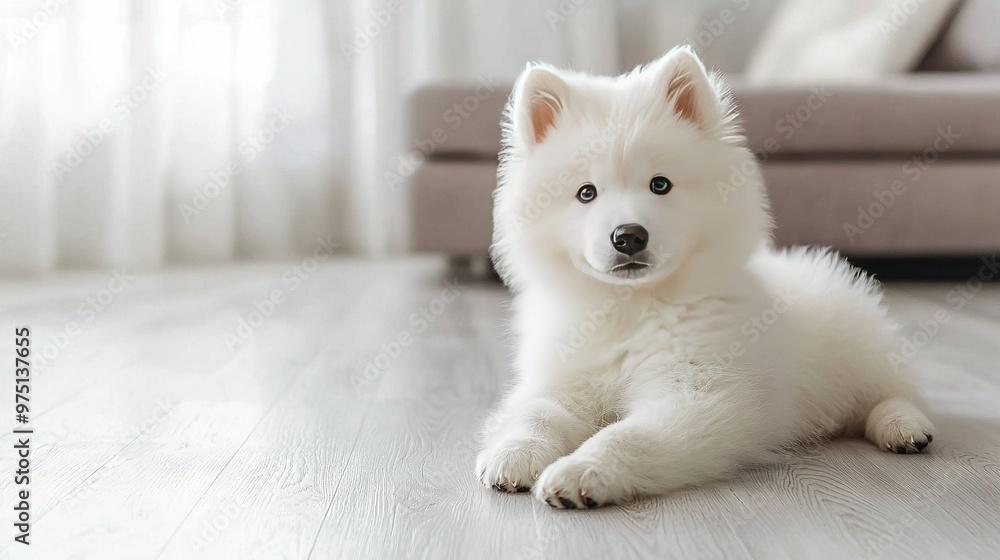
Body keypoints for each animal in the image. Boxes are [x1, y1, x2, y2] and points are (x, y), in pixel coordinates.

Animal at [476, 46, 936, 510]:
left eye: (660, 185)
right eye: (586, 193)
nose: (628, 236)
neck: (632, 307)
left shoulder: (701, 394)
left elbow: (628, 436)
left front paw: (579, 472)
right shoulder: (564, 377)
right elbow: (537, 412)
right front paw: (514, 453)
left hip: (857, 346)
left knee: (892, 390)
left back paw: (903, 427)